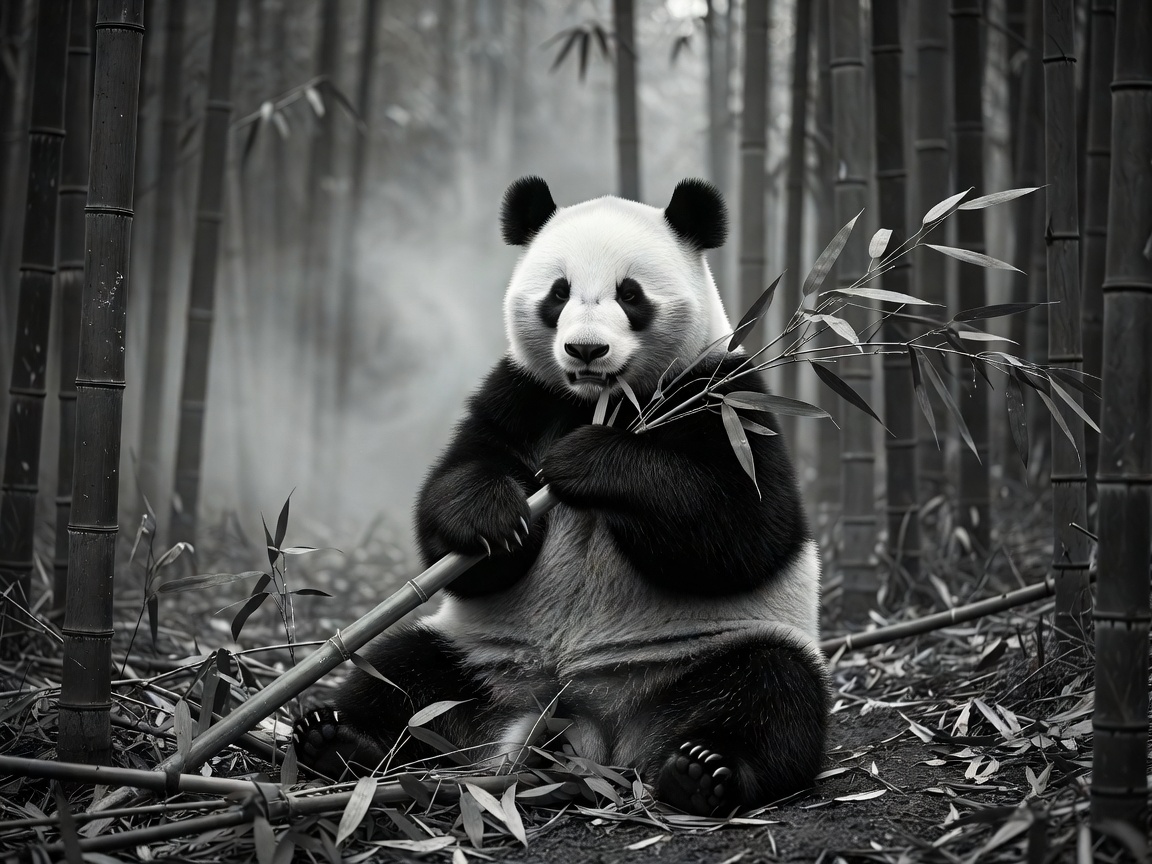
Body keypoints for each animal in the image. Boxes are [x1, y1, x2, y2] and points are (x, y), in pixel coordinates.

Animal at [295, 177, 828, 816]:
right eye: (559, 292)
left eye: (630, 294)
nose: (586, 351)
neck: (603, 401)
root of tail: (591, 725)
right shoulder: (521, 392)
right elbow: (455, 502)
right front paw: (493, 518)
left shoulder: (723, 396)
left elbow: (746, 525)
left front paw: (585, 461)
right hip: (477, 657)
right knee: (401, 671)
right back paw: (337, 740)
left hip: (709, 651)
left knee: (774, 690)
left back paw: (703, 771)